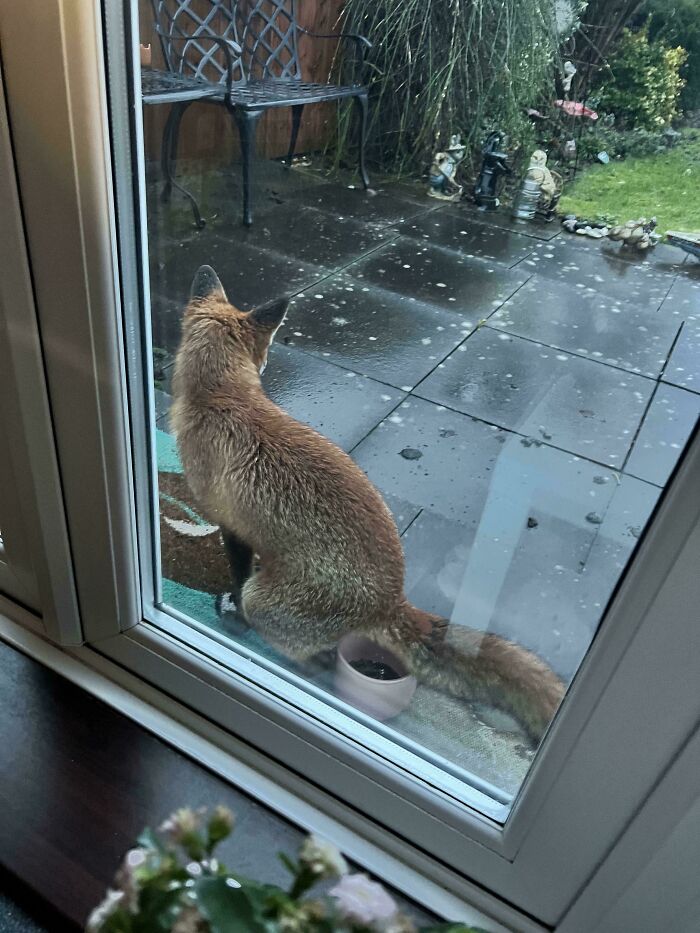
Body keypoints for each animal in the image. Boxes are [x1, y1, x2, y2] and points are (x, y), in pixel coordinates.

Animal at [170, 265, 565, 745]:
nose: (266, 364)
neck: (222, 397)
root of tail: (391, 599)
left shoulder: (229, 524)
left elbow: (238, 571)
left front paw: (229, 605)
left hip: (265, 601)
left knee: (309, 655)